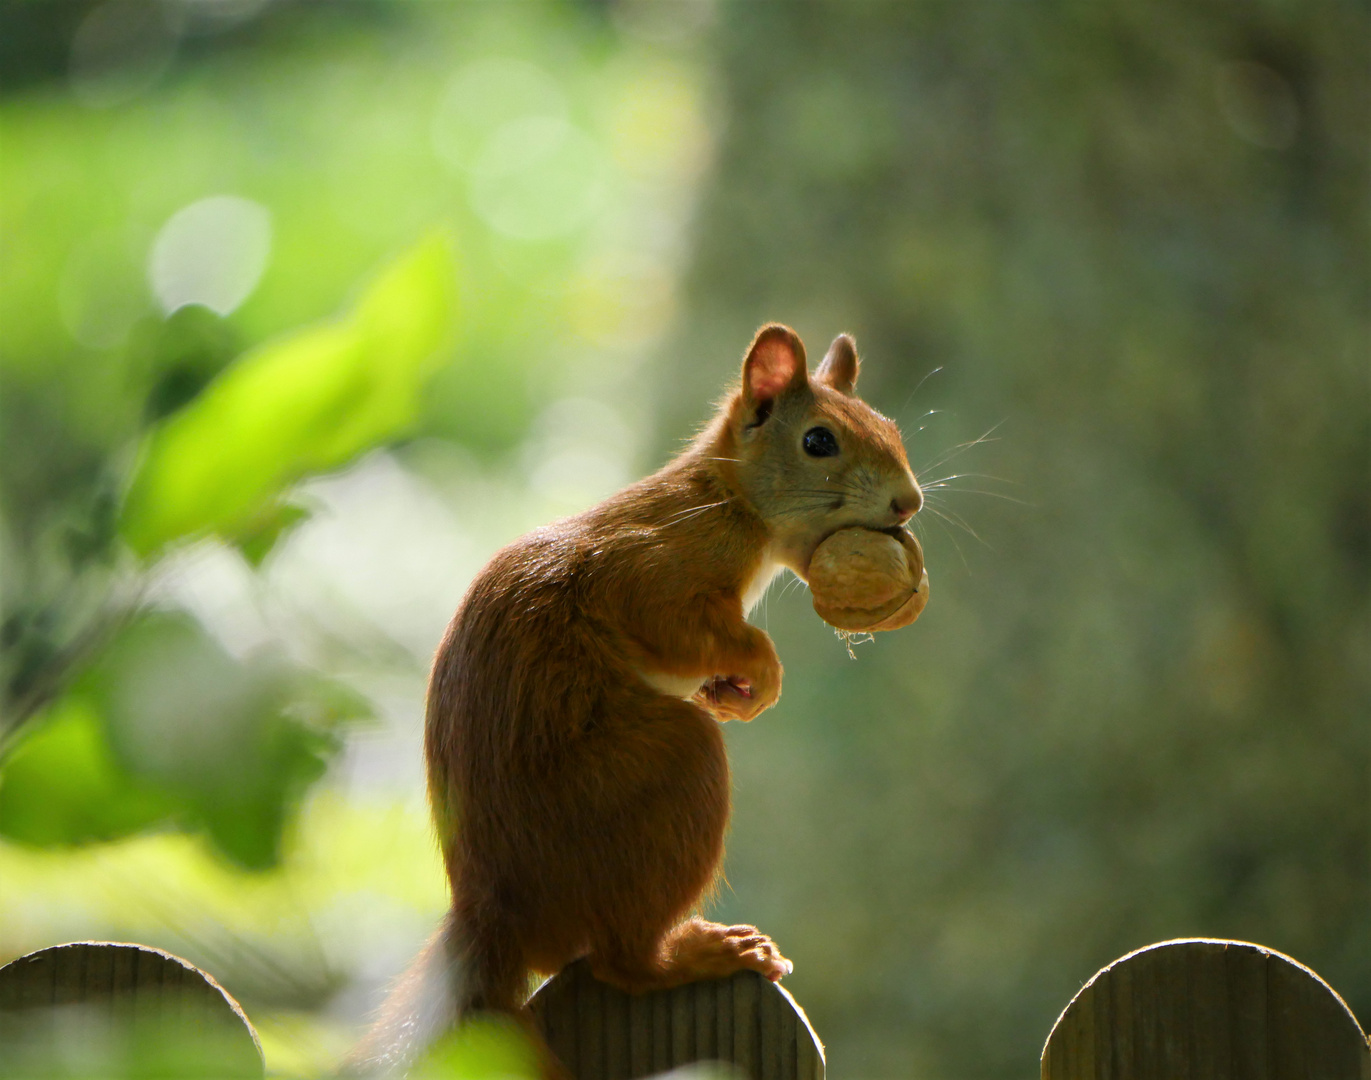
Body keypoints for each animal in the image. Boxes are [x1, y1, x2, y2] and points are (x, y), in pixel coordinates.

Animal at [348, 324, 921, 1074]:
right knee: (623, 963)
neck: (727, 498)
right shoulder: (653, 572)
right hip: (656, 772)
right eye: (818, 441)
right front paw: (761, 671)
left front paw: (736, 695)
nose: (909, 502)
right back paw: (692, 953)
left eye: (890, 426)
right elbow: (681, 628)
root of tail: (497, 915)